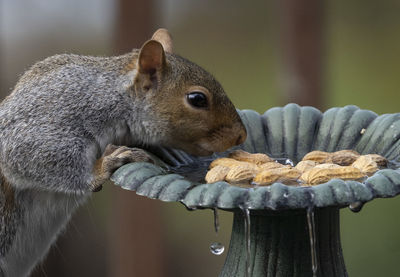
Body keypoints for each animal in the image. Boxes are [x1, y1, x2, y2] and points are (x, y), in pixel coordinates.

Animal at [0, 29, 247, 274]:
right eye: (197, 99)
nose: (241, 135)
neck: (112, 98)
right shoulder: (50, 115)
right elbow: (24, 154)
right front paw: (103, 166)